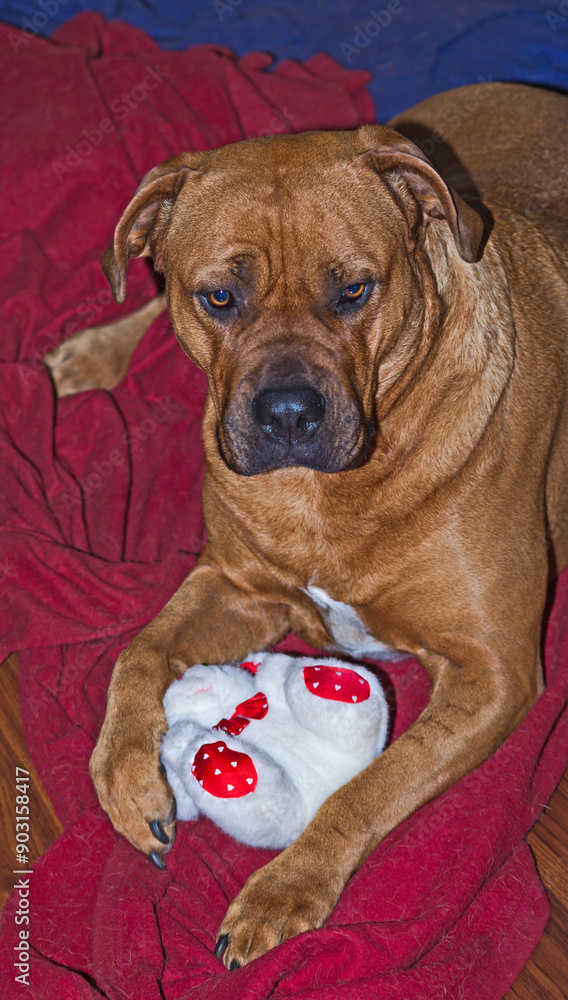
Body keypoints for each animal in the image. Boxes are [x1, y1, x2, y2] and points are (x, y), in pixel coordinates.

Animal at [45, 82, 568, 972]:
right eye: (220, 297)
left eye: (354, 290)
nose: (288, 414)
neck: (325, 495)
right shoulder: (235, 584)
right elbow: (137, 652)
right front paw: (127, 779)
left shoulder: (494, 672)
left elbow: (368, 787)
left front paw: (284, 890)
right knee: (138, 286)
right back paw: (90, 354)